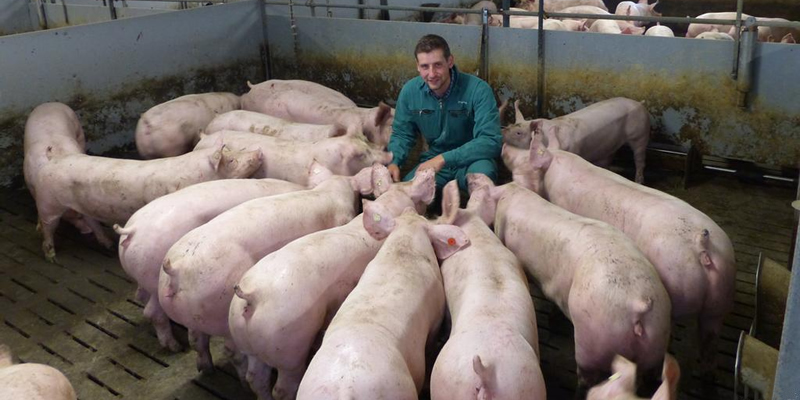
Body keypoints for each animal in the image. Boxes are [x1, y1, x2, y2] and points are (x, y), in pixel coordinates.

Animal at [23, 102, 112, 248]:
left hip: (79, 130)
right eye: (75, 216)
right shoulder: (31, 186)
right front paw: (39, 229)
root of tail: (50, 103)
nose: (87, 231)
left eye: (79, 214)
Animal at [33, 140, 262, 262]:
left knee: (90, 220)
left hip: (81, 205)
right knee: (47, 227)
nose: (258, 152)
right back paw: (51, 256)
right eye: (230, 160)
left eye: (234, 151)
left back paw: (108, 245)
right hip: (48, 203)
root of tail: (54, 159)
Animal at [228, 169, 434, 400]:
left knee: (255, 378)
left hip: (245, 339)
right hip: (288, 344)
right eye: (419, 202)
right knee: (283, 386)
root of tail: (252, 295)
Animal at [468, 174, 671, 389]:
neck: (511, 193)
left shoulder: (501, 229)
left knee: (587, 378)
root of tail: (639, 302)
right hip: (657, 340)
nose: (469, 176)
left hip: (592, 339)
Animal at [502, 97, 650, 183]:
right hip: (610, 145)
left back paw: (638, 181)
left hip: (640, 135)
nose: (502, 130)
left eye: (518, 133)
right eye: (510, 124)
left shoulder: (573, 150)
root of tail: (639, 103)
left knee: (640, 159)